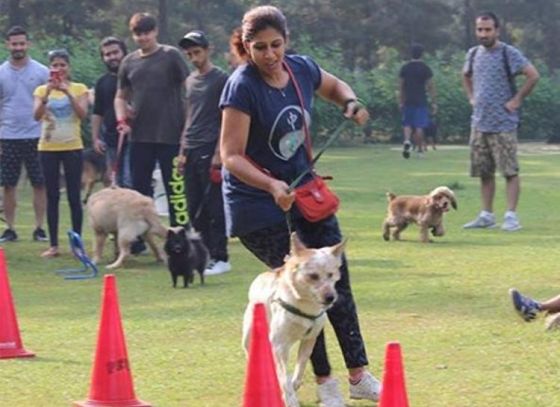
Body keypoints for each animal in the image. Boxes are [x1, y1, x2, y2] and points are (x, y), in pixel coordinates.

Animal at [242, 233, 344, 407]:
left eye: (331, 274)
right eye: (313, 276)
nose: (331, 297)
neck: (303, 305)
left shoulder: (310, 339)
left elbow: (301, 365)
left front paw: (295, 383)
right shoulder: (279, 345)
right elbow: (283, 379)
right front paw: (290, 398)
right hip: (249, 337)